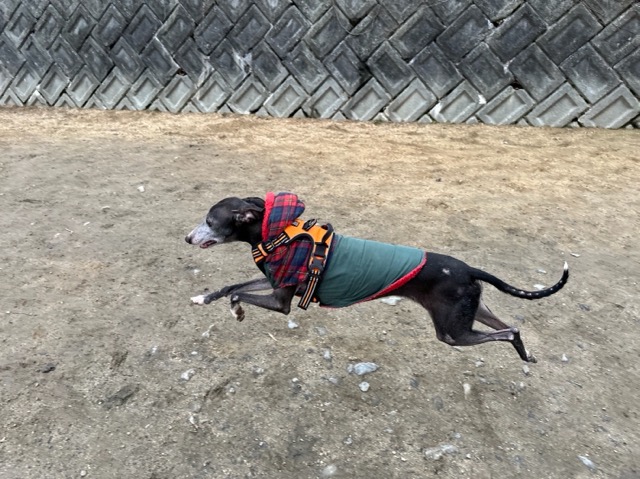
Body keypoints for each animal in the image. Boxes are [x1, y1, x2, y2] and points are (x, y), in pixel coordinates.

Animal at [185, 194, 569, 363]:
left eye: (210, 220)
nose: (187, 239)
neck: (279, 234)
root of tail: (469, 269)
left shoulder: (282, 302)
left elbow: (238, 295)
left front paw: (237, 311)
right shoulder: (276, 284)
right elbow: (231, 287)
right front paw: (204, 298)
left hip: (452, 332)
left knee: (509, 331)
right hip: (473, 310)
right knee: (511, 327)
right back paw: (526, 357)